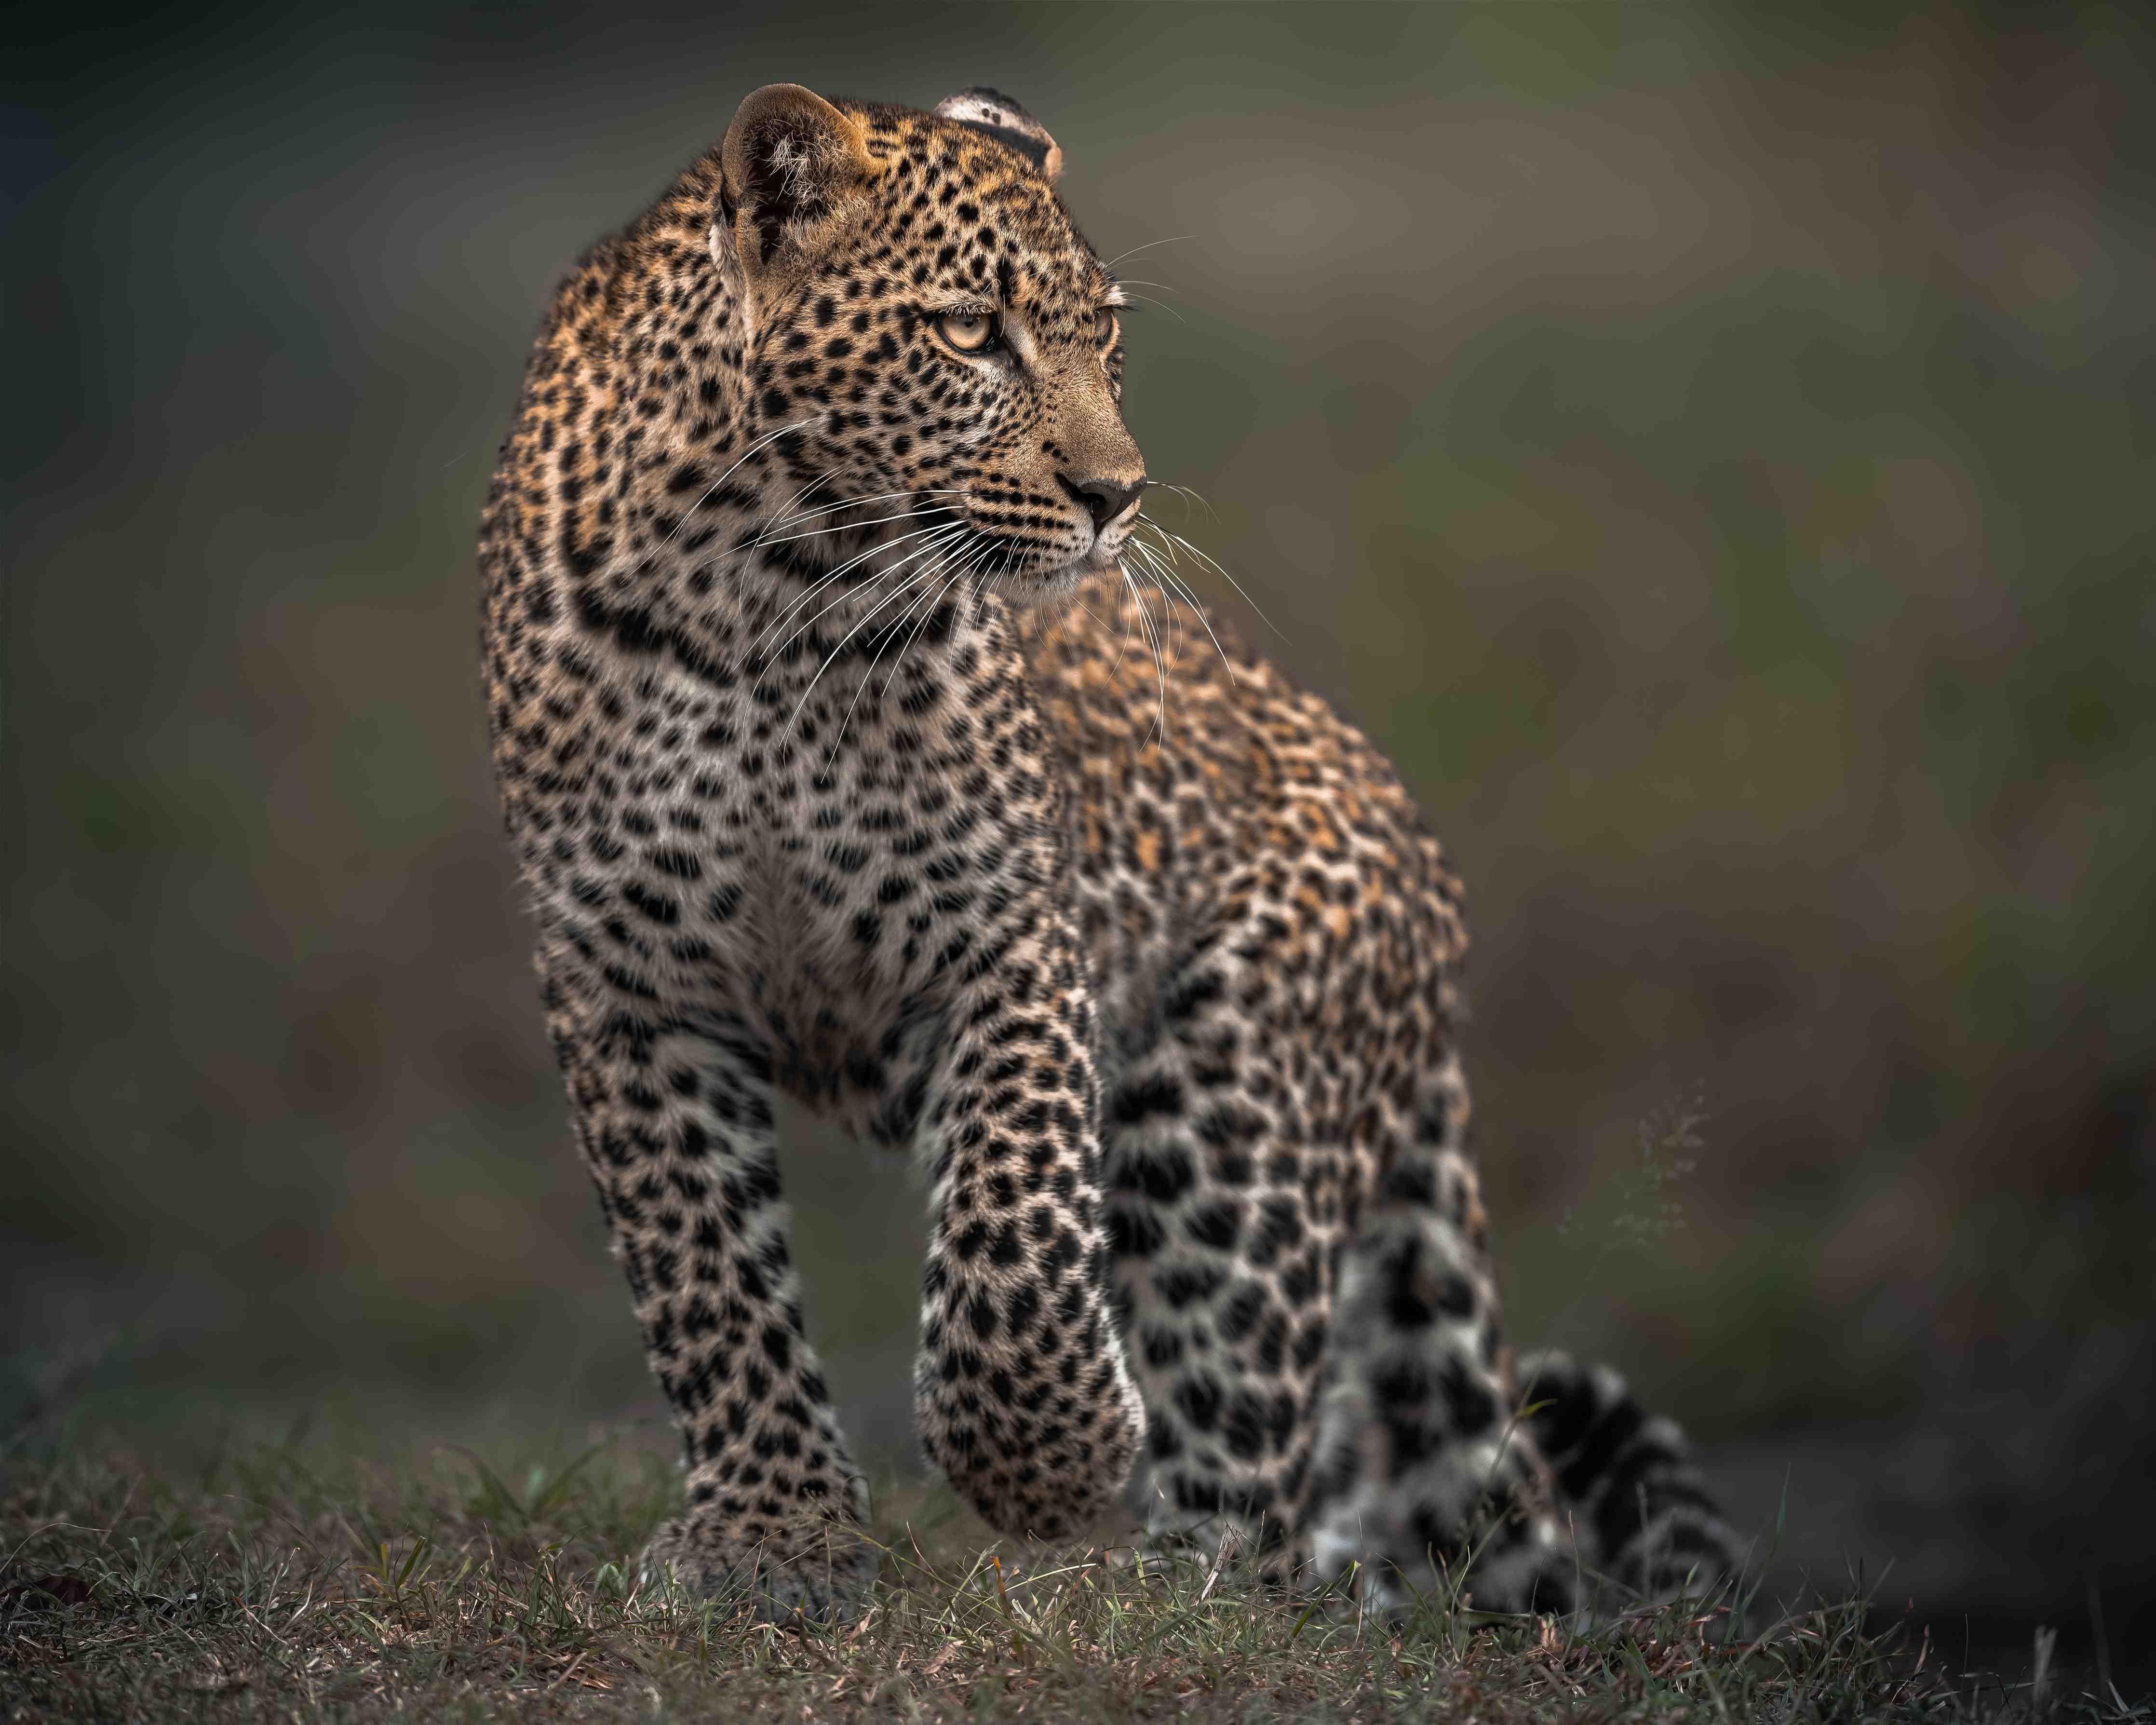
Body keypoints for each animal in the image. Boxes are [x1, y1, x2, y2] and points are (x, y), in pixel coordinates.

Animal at [477, 82, 1741, 1623]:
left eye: (1106, 335)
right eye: (972, 331)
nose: (1117, 494)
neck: (766, 596)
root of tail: (1425, 884)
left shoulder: (1006, 931)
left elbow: (1015, 1223)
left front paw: (1047, 1458)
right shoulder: (624, 983)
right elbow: (704, 1277)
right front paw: (772, 1538)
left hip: (1230, 1112)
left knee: (1250, 1472)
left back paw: (1166, 1599)